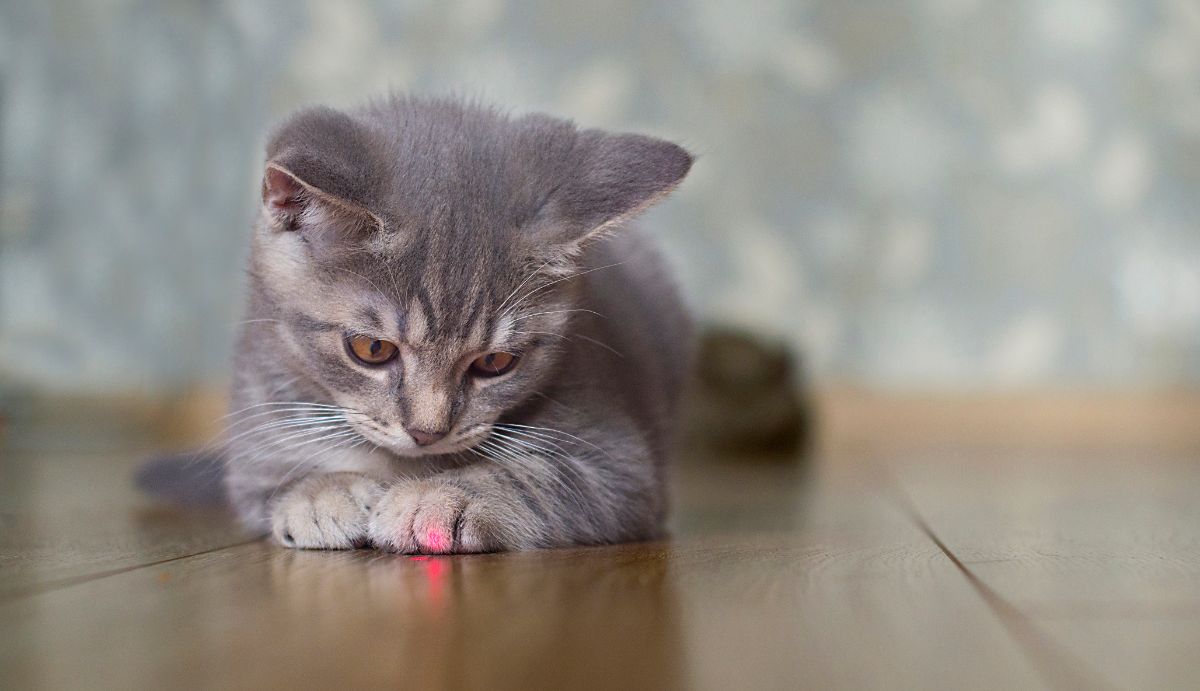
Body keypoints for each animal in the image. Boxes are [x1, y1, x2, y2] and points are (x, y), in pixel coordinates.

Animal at [225, 94, 696, 554]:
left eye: (496, 362)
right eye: (372, 349)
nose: (426, 432)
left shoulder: (620, 465)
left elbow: (537, 477)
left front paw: (437, 498)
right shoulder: (255, 437)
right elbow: (275, 478)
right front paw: (322, 494)